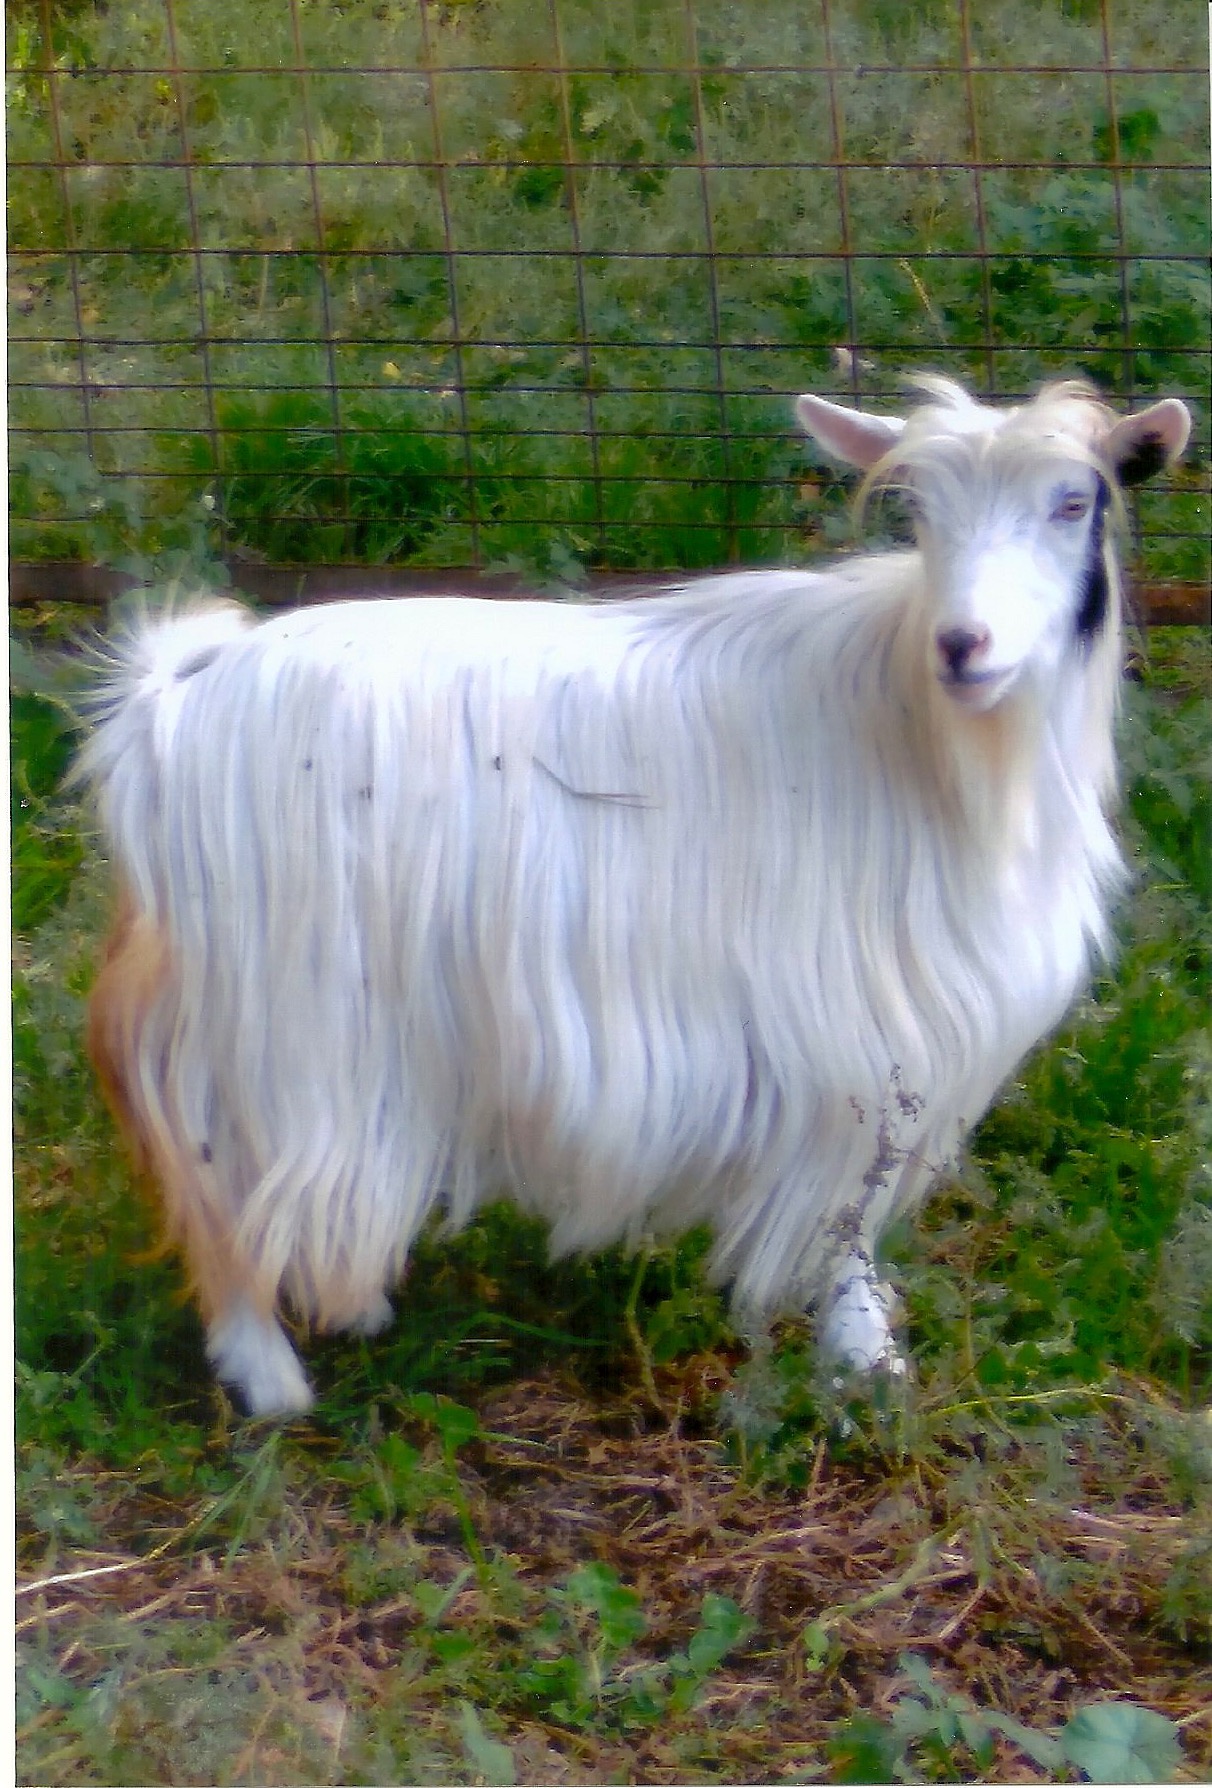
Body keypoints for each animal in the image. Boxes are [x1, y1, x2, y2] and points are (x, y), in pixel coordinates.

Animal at [79, 375, 1190, 1415]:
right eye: (918, 511)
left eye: (1073, 503)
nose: (963, 644)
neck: (934, 740)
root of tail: (167, 703)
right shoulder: (871, 1017)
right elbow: (852, 1207)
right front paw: (865, 1358)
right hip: (276, 1024)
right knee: (216, 1185)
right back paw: (270, 1378)